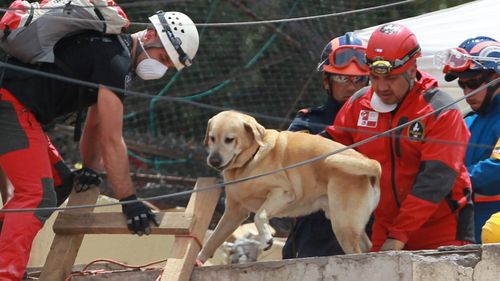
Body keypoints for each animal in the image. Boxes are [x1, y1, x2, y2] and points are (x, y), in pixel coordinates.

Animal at [197, 110, 380, 262]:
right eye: (212, 138)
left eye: (229, 139)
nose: (213, 161)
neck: (252, 158)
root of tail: (371, 165)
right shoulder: (234, 212)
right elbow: (213, 240)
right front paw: (199, 261)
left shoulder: (282, 193)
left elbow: (259, 216)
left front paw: (266, 240)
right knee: (367, 246)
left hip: (343, 225)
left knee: (357, 251)